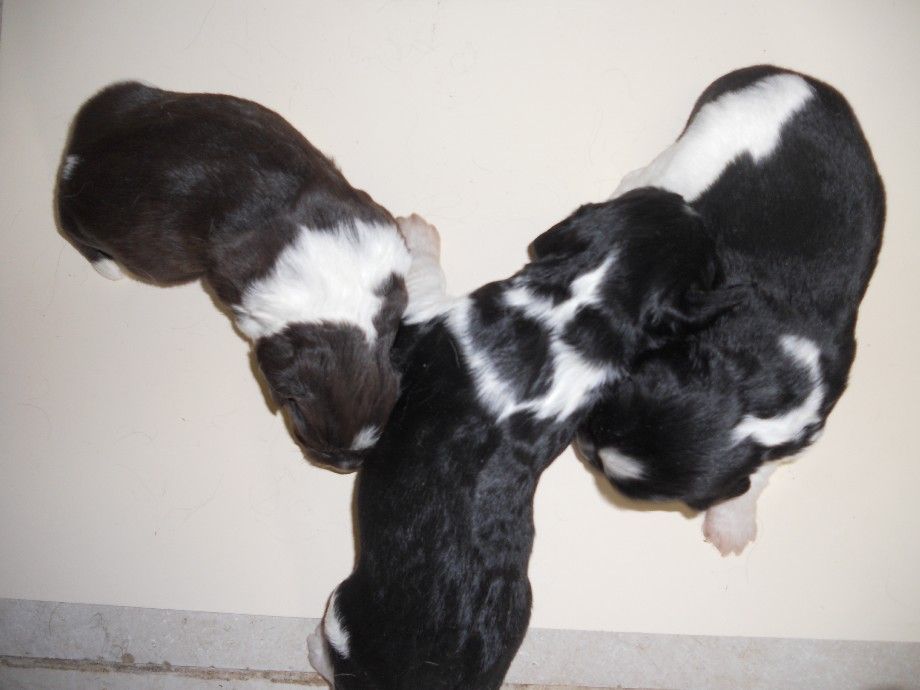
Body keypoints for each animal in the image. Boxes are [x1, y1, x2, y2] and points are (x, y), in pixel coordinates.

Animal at [56, 82, 410, 468]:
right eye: (302, 420)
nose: (344, 466)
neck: (340, 290)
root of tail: (77, 154)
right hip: (134, 242)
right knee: (71, 224)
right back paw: (105, 265)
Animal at [306, 189, 736, 688]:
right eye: (647, 197)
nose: (685, 199)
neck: (586, 310)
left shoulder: (424, 328)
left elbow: (426, 283)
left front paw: (417, 234)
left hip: (345, 607)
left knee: (333, 644)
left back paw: (314, 647)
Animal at [576, 64, 884, 552]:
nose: (583, 446)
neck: (748, 383)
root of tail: (793, 78)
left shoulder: (803, 429)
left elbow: (758, 474)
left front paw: (732, 520)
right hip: (703, 146)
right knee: (650, 175)